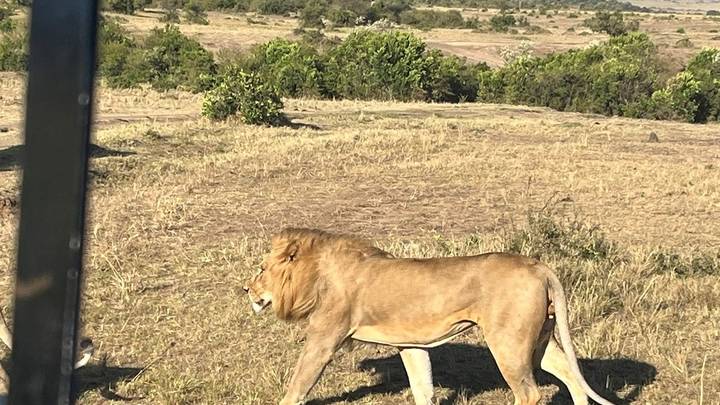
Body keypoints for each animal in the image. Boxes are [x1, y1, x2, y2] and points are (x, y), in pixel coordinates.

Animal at [243, 228, 615, 405]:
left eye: (261, 269)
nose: (246, 289)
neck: (317, 273)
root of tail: (540, 266)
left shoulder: (324, 338)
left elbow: (298, 383)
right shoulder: (410, 344)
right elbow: (422, 387)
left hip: (508, 344)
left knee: (529, 394)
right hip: (539, 340)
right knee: (571, 378)